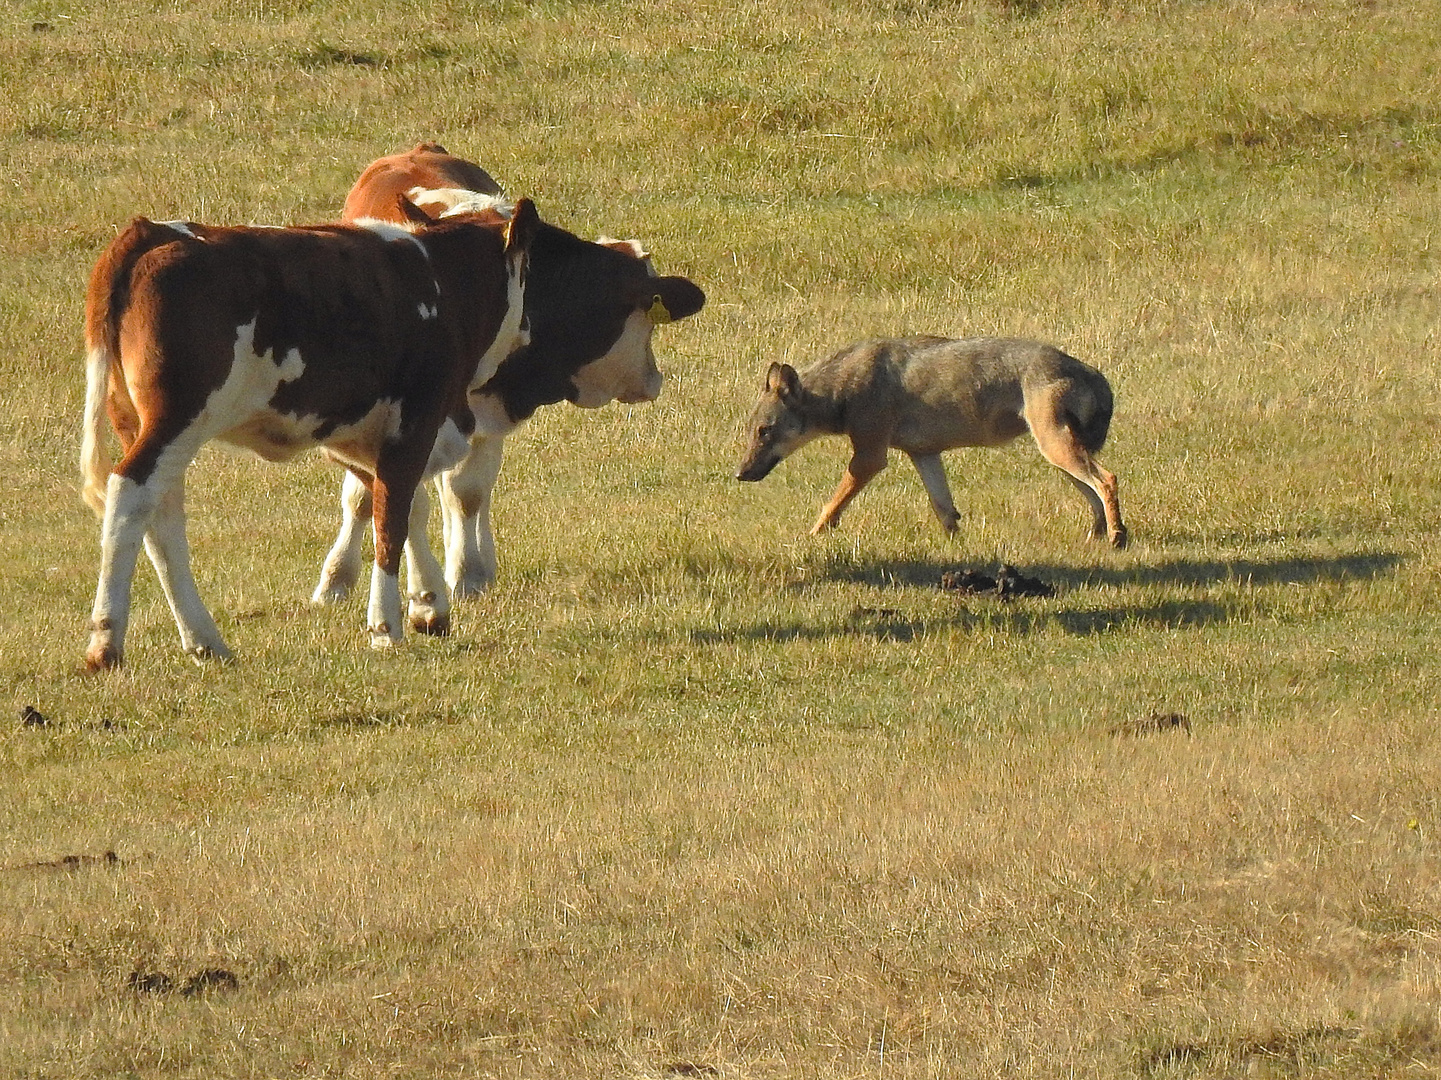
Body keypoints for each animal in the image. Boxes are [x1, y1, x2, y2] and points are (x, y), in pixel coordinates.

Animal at [80, 200, 541, 666]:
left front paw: (429, 605)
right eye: (527, 270)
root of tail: (152, 230)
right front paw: (385, 626)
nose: (528, 329)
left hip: (139, 422)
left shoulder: (365, 437)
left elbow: (403, 505)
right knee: (131, 492)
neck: (441, 284)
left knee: (161, 512)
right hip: (176, 417)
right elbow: (391, 518)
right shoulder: (417, 421)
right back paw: (107, 641)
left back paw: (204, 640)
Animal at [312, 145, 706, 605]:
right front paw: (339, 580)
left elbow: (466, 495)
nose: (653, 379)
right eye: (647, 319)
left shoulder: (485, 417)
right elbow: (374, 499)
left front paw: (466, 574)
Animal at [737, 334, 1129, 547]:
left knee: (1107, 480)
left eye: (764, 431)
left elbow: (830, 507)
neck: (843, 388)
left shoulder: (869, 458)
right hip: (1058, 457)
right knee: (1094, 493)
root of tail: (1090, 370)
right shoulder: (924, 455)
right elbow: (945, 510)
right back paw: (1096, 537)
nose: (740, 474)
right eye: (751, 430)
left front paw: (812, 535)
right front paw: (958, 548)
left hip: (1057, 451)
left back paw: (1117, 537)